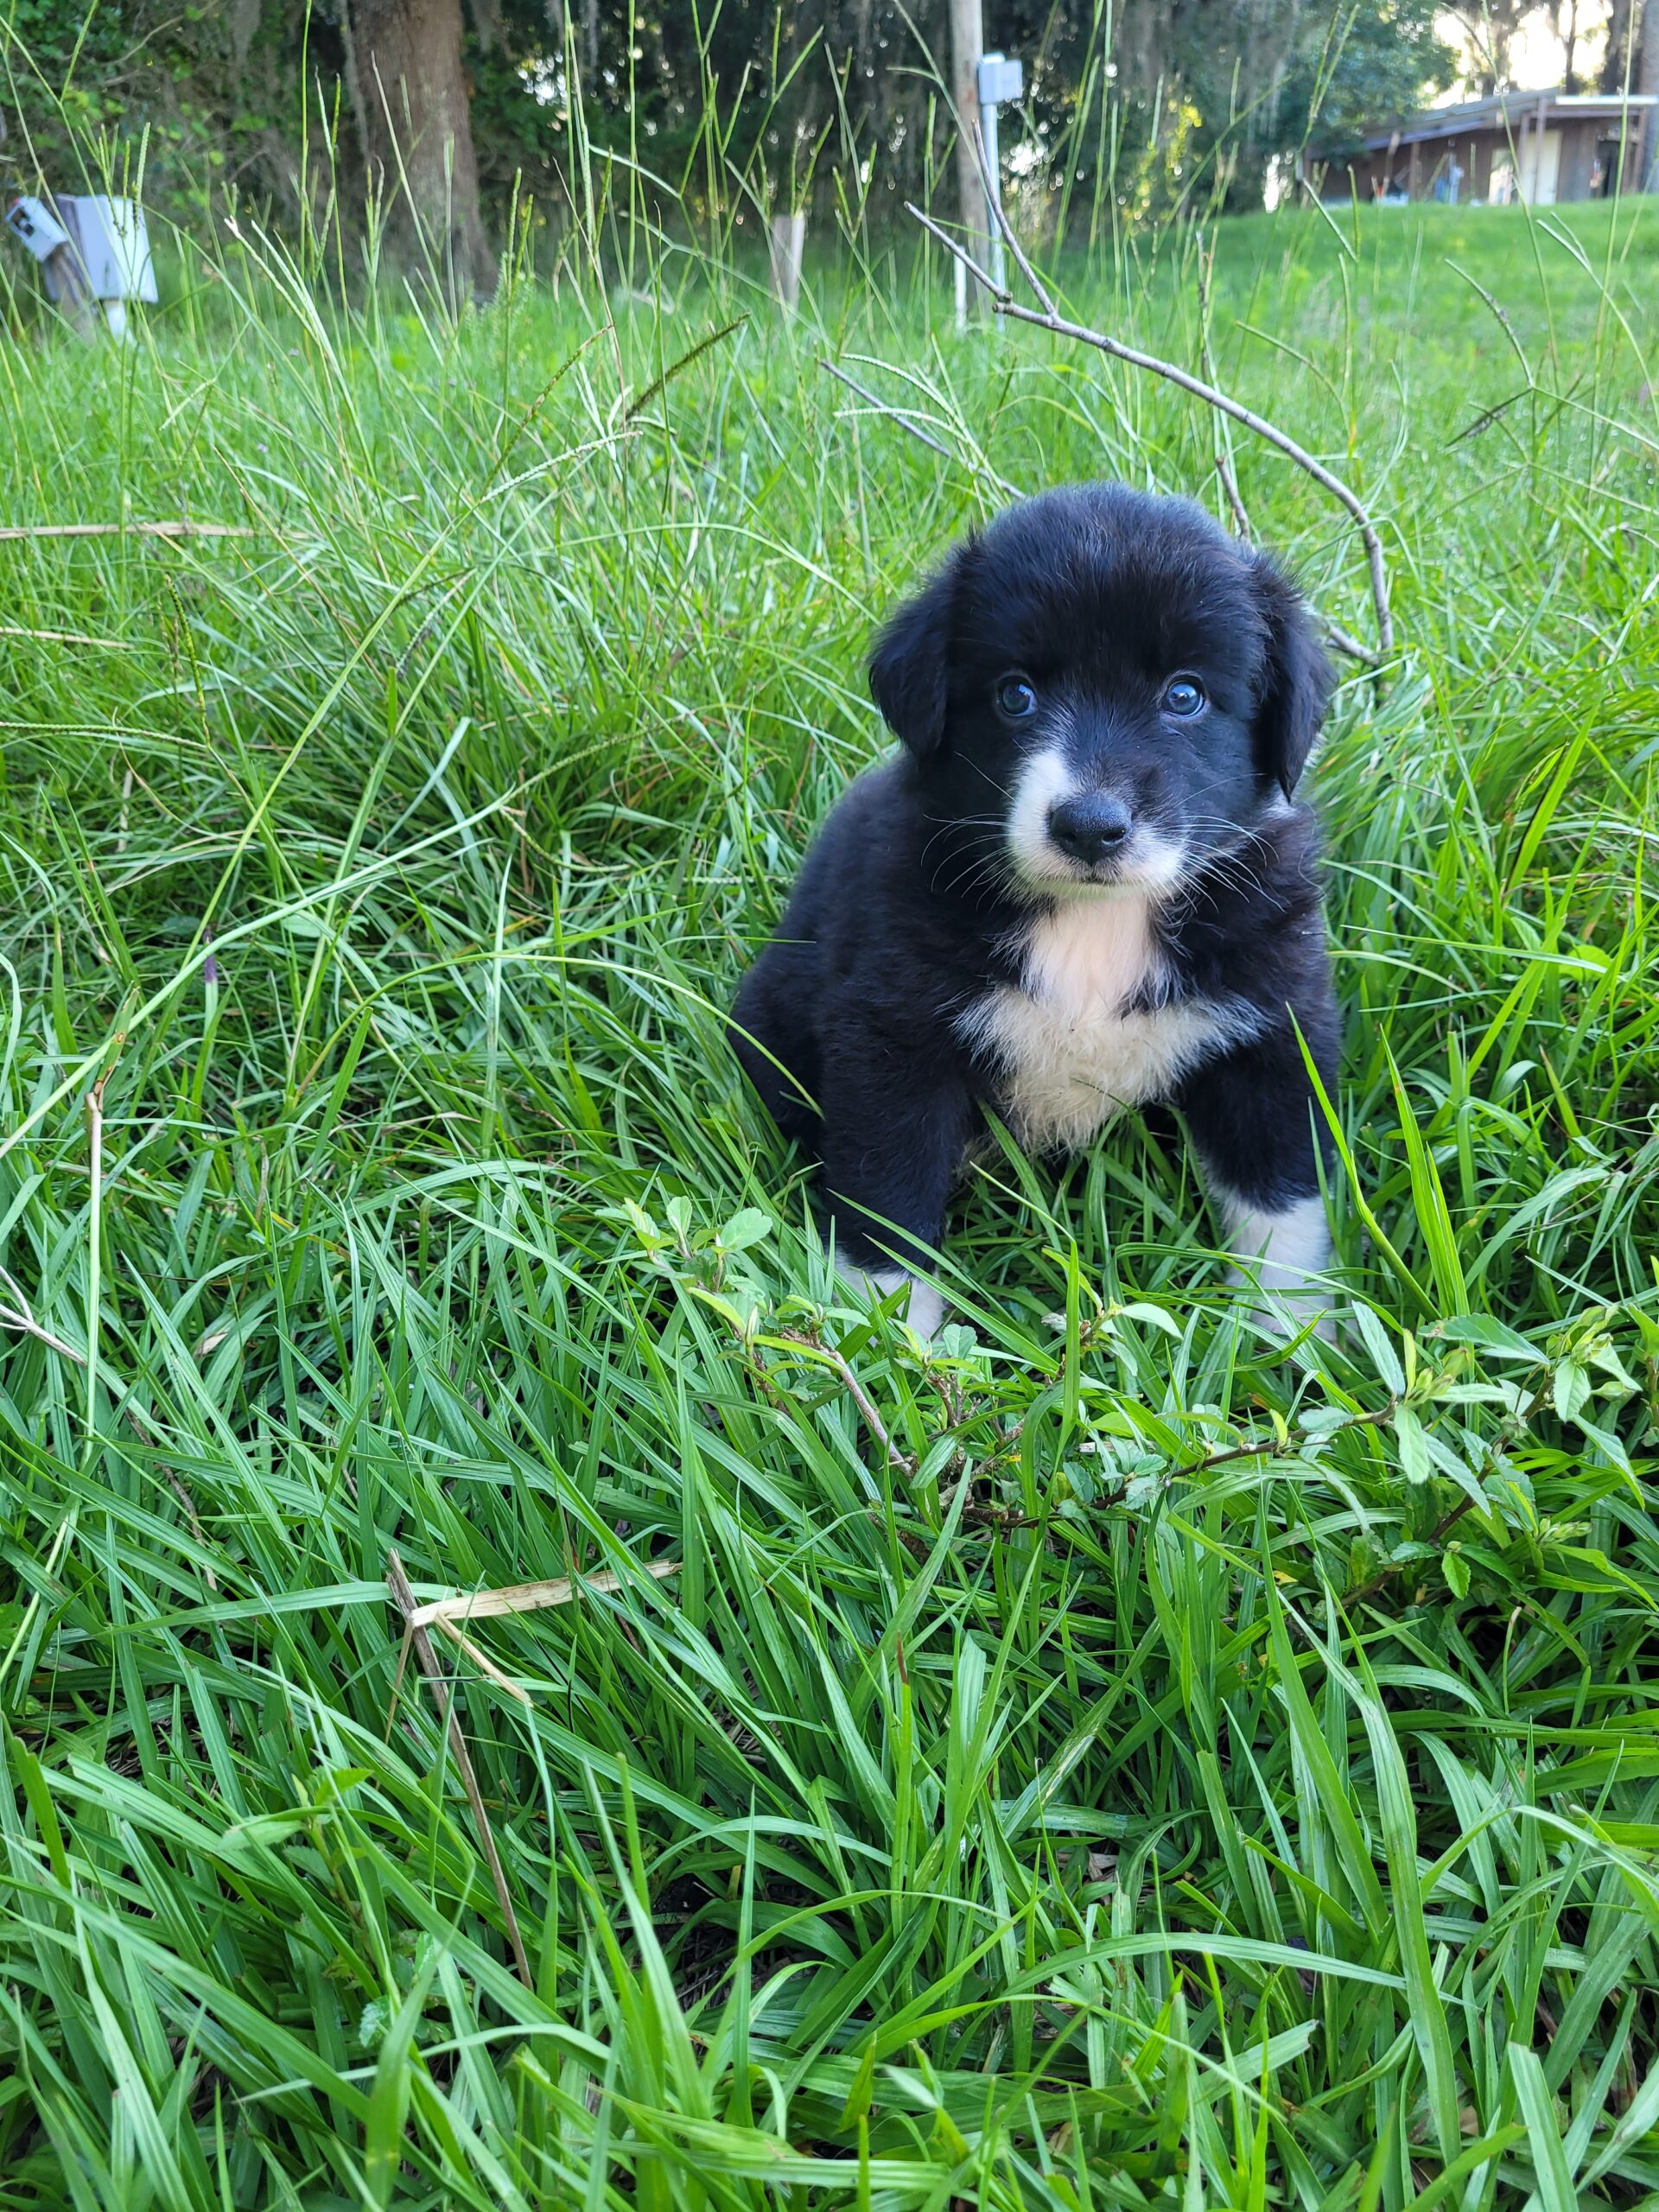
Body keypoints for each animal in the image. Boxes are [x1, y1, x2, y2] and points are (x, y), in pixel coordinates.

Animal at [731, 482, 1340, 1337]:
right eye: (1015, 694)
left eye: (1185, 694)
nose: (1090, 825)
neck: (1094, 922)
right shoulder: (892, 1037)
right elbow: (886, 1199)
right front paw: (896, 1347)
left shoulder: (1270, 1029)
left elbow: (1281, 1202)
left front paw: (1293, 1340)